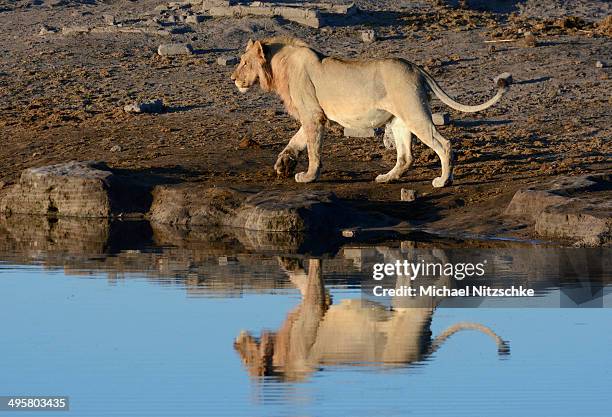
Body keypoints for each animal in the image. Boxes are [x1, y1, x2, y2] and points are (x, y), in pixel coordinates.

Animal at [231, 37, 512, 187]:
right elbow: (295, 141)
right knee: (406, 156)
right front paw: (283, 164)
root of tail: (416, 67)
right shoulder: (313, 115)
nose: (232, 78)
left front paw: (309, 176)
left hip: (414, 113)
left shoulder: (313, 115)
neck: (277, 67)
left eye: (244, 63)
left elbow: (313, 149)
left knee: (444, 144)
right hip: (398, 120)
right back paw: (387, 178)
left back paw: (443, 181)